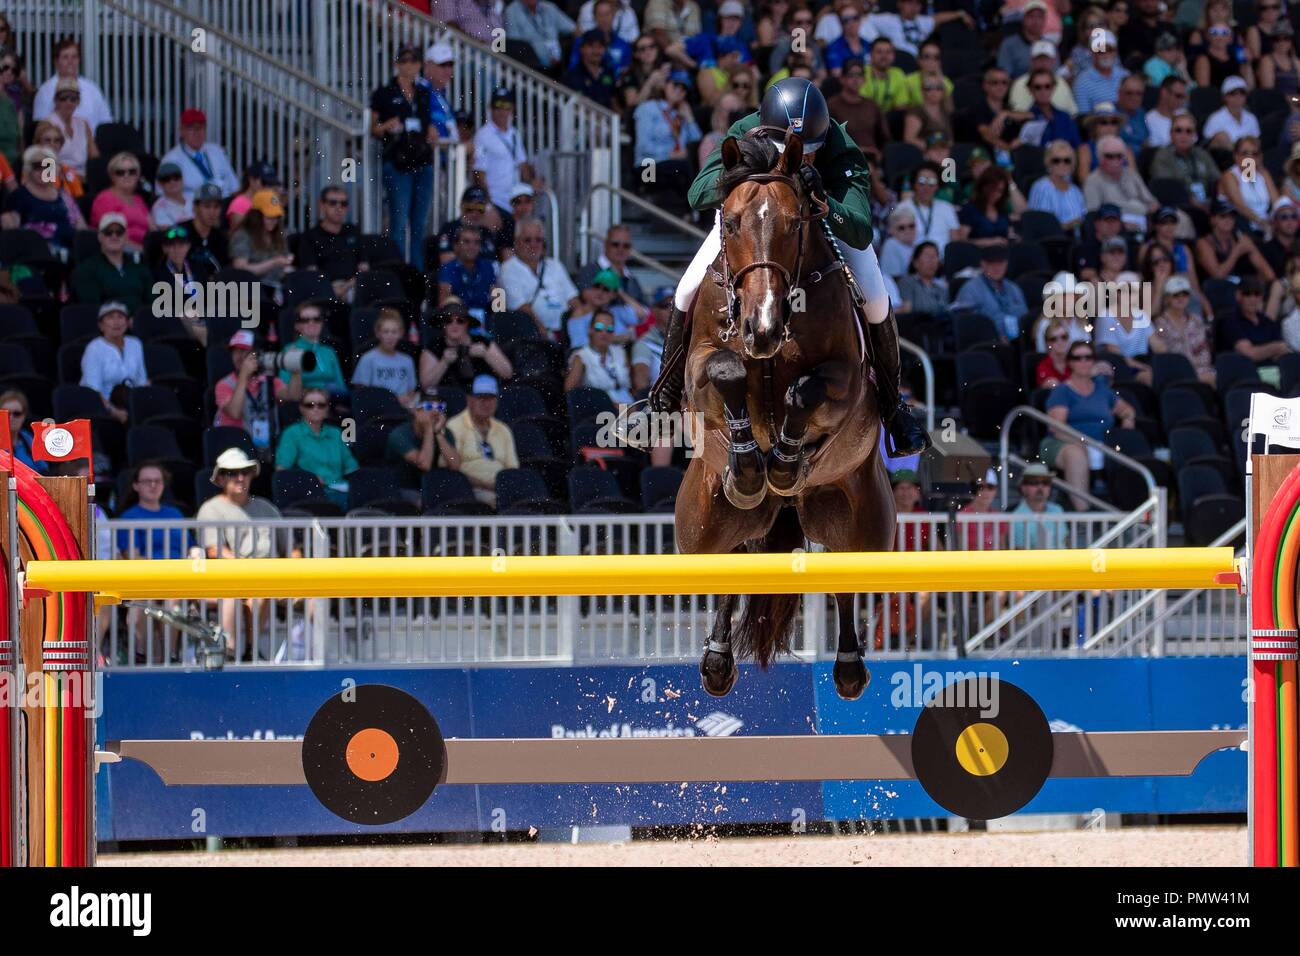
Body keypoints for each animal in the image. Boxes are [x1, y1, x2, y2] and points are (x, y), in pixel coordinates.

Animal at [670, 127, 894, 697]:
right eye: (729, 222)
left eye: (796, 224)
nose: (763, 328)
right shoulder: (702, 368)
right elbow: (726, 371)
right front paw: (752, 466)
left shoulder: (848, 380)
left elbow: (804, 393)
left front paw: (786, 462)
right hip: (703, 524)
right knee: (728, 565)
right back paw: (717, 662)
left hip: (865, 519)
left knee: (845, 574)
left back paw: (849, 669)